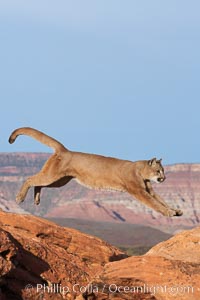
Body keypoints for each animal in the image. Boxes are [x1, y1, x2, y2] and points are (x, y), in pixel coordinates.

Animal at [8, 126, 183, 216]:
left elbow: (161, 200)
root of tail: (65, 150)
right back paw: (19, 197)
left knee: (38, 183)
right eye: (158, 171)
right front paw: (168, 212)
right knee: (30, 179)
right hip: (53, 176)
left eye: (163, 171)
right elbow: (154, 203)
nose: (164, 178)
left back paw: (37, 200)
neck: (141, 172)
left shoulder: (149, 190)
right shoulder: (139, 191)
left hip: (59, 181)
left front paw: (175, 210)